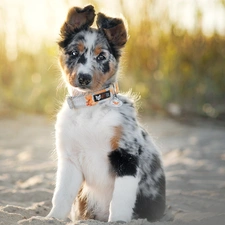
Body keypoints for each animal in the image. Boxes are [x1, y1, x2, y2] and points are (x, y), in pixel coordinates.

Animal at [46, 4, 165, 222]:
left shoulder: (126, 157)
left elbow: (120, 200)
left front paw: (118, 221)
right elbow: (61, 196)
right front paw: (52, 218)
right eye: (73, 52)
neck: (90, 109)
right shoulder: (70, 160)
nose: (84, 78)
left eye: (101, 56)